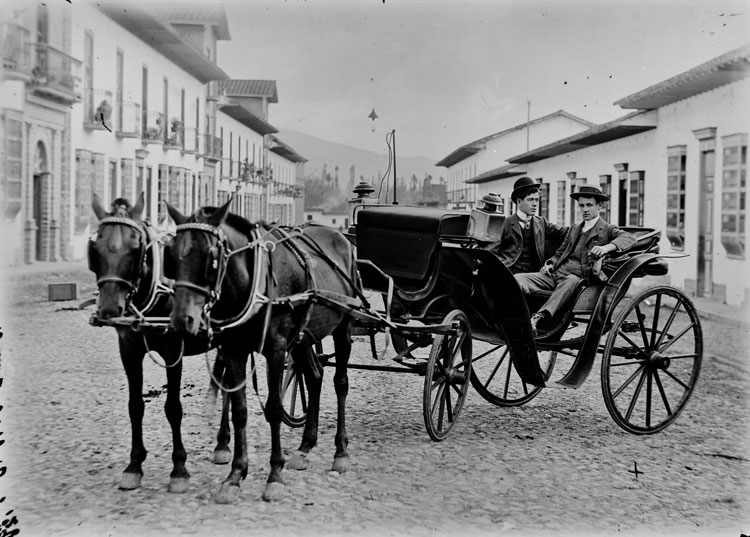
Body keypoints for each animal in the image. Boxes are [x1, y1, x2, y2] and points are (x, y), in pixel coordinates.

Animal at [86, 194, 232, 494]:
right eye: (96, 247)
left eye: (135, 246)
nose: (109, 309)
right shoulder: (129, 350)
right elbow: (135, 406)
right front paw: (134, 465)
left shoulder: (173, 350)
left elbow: (173, 408)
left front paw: (179, 469)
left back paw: (223, 443)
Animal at [167, 198, 362, 502]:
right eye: (172, 254)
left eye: (211, 256)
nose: (181, 320)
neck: (253, 281)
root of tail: (342, 239)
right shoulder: (234, 349)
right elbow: (240, 411)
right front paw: (235, 475)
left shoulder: (277, 349)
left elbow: (274, 408)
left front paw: (274, 475)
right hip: (304, 337)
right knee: (314, 377)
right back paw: (305, 447)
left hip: (343, 327)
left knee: (340, 382)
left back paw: (340, 451)